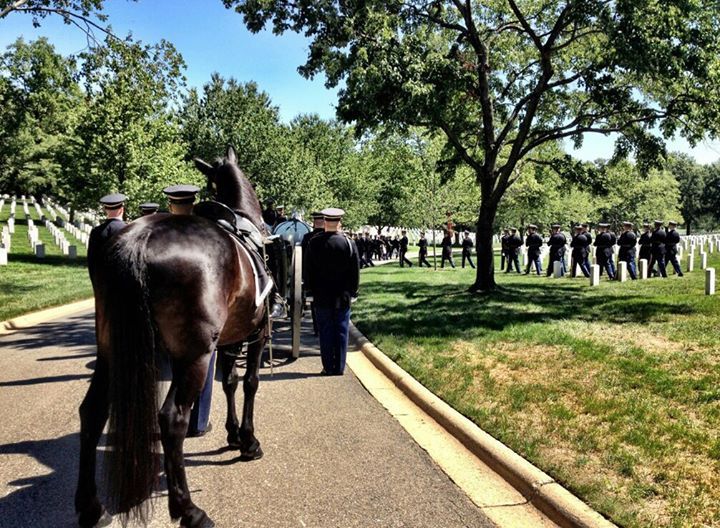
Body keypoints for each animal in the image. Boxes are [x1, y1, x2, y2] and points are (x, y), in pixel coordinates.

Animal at [76, 145, 268, 528]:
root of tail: (138, 239)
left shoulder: (229, 340)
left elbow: (230, 382)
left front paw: (233, 434)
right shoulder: (256, 334)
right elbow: (250, 382)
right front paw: (248, 441)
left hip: (111, 350)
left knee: (92, 411)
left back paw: (91, 507)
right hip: (193, 356)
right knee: (172, 419)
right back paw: (188, 509)